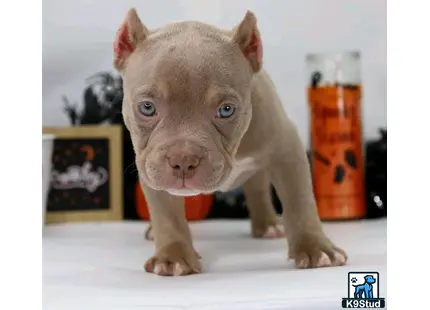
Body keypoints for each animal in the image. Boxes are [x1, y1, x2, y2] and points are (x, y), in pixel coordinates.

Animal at [113, 8, 346, 276]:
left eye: (226, 110)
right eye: (147, 107)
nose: (183, 158)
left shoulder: (287, 149)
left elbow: (299, 201)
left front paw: (315, 248)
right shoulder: (148, 164)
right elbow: (166, 213)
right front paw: (173, 256)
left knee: (257, 187)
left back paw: (268, 225)